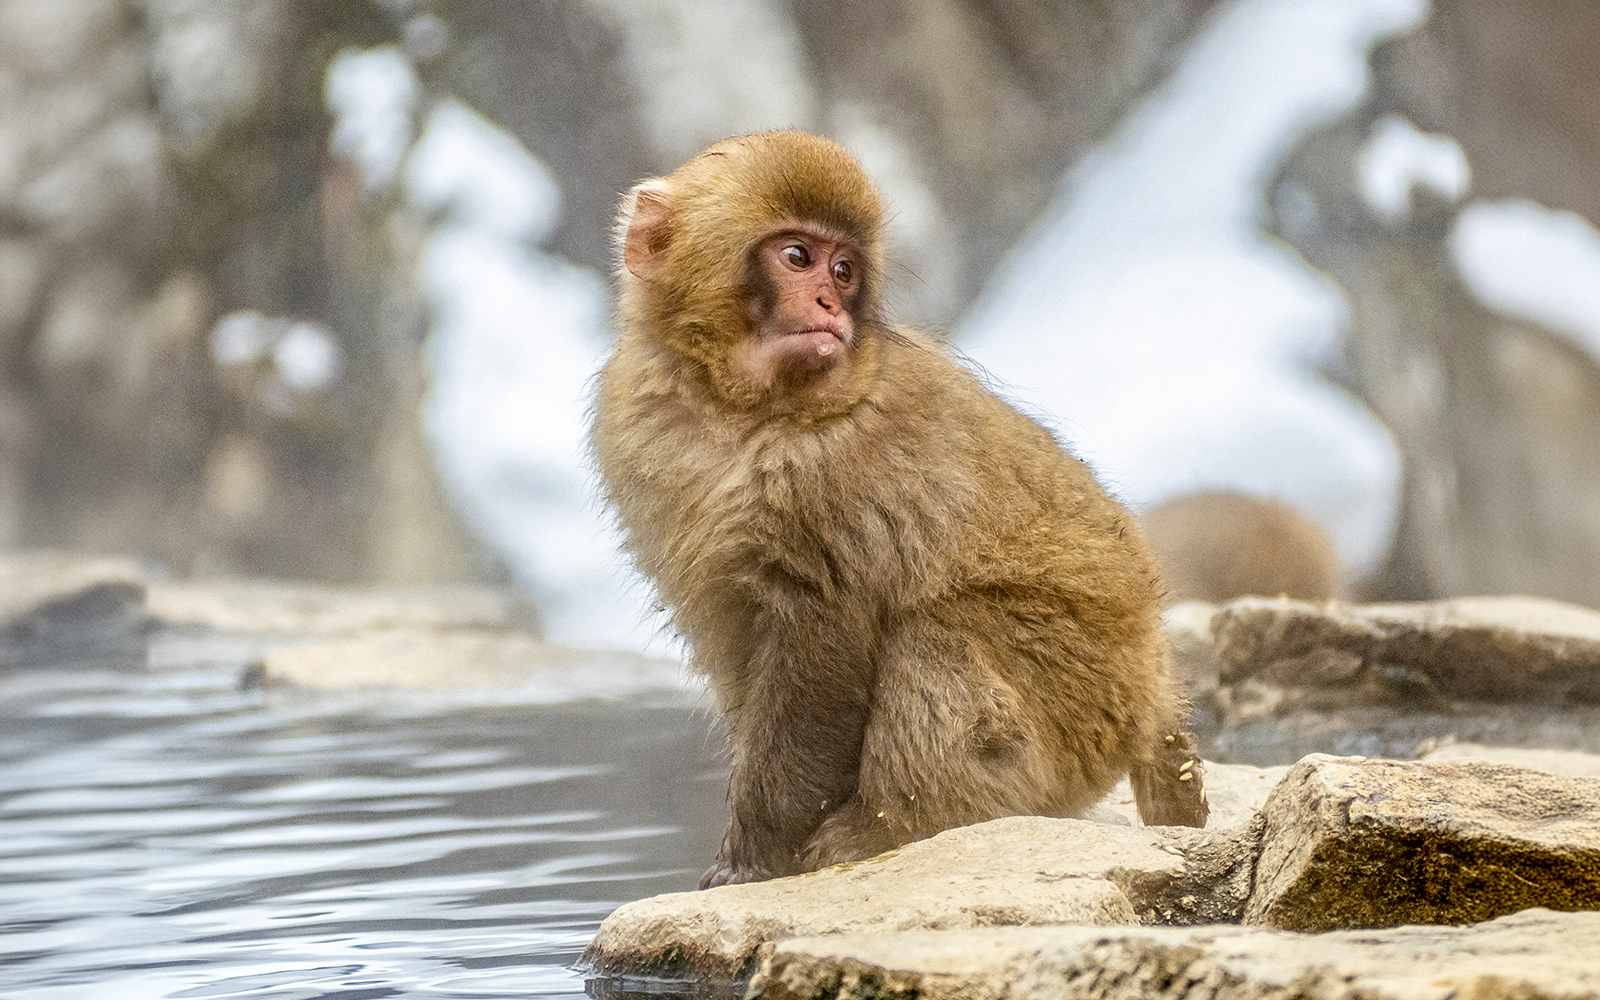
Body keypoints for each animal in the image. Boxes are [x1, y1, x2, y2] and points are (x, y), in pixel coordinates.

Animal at [591, 130, 1207, 889]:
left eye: (845, 270)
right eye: (798, 258)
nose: (828, 302)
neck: (739, 407)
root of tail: (1153, 680)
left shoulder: (835, 479)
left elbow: (820, 647)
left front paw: (753, 855)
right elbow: (737, 644)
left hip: (1086, 702)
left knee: (935, 634)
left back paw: (893, 828)